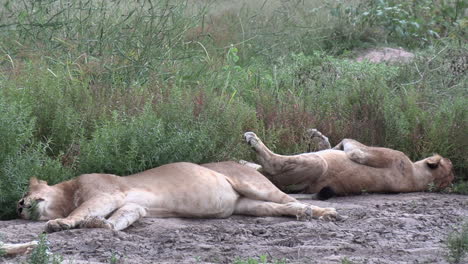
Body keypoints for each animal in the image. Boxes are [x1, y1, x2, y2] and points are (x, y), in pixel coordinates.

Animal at [243, 130, 456, 200]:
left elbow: (350, 145)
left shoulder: (389, 156)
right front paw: (320, 137)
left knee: (272, 164)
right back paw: (245, 162)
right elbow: (336, 145)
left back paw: (253, 140)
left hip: (317, 164)